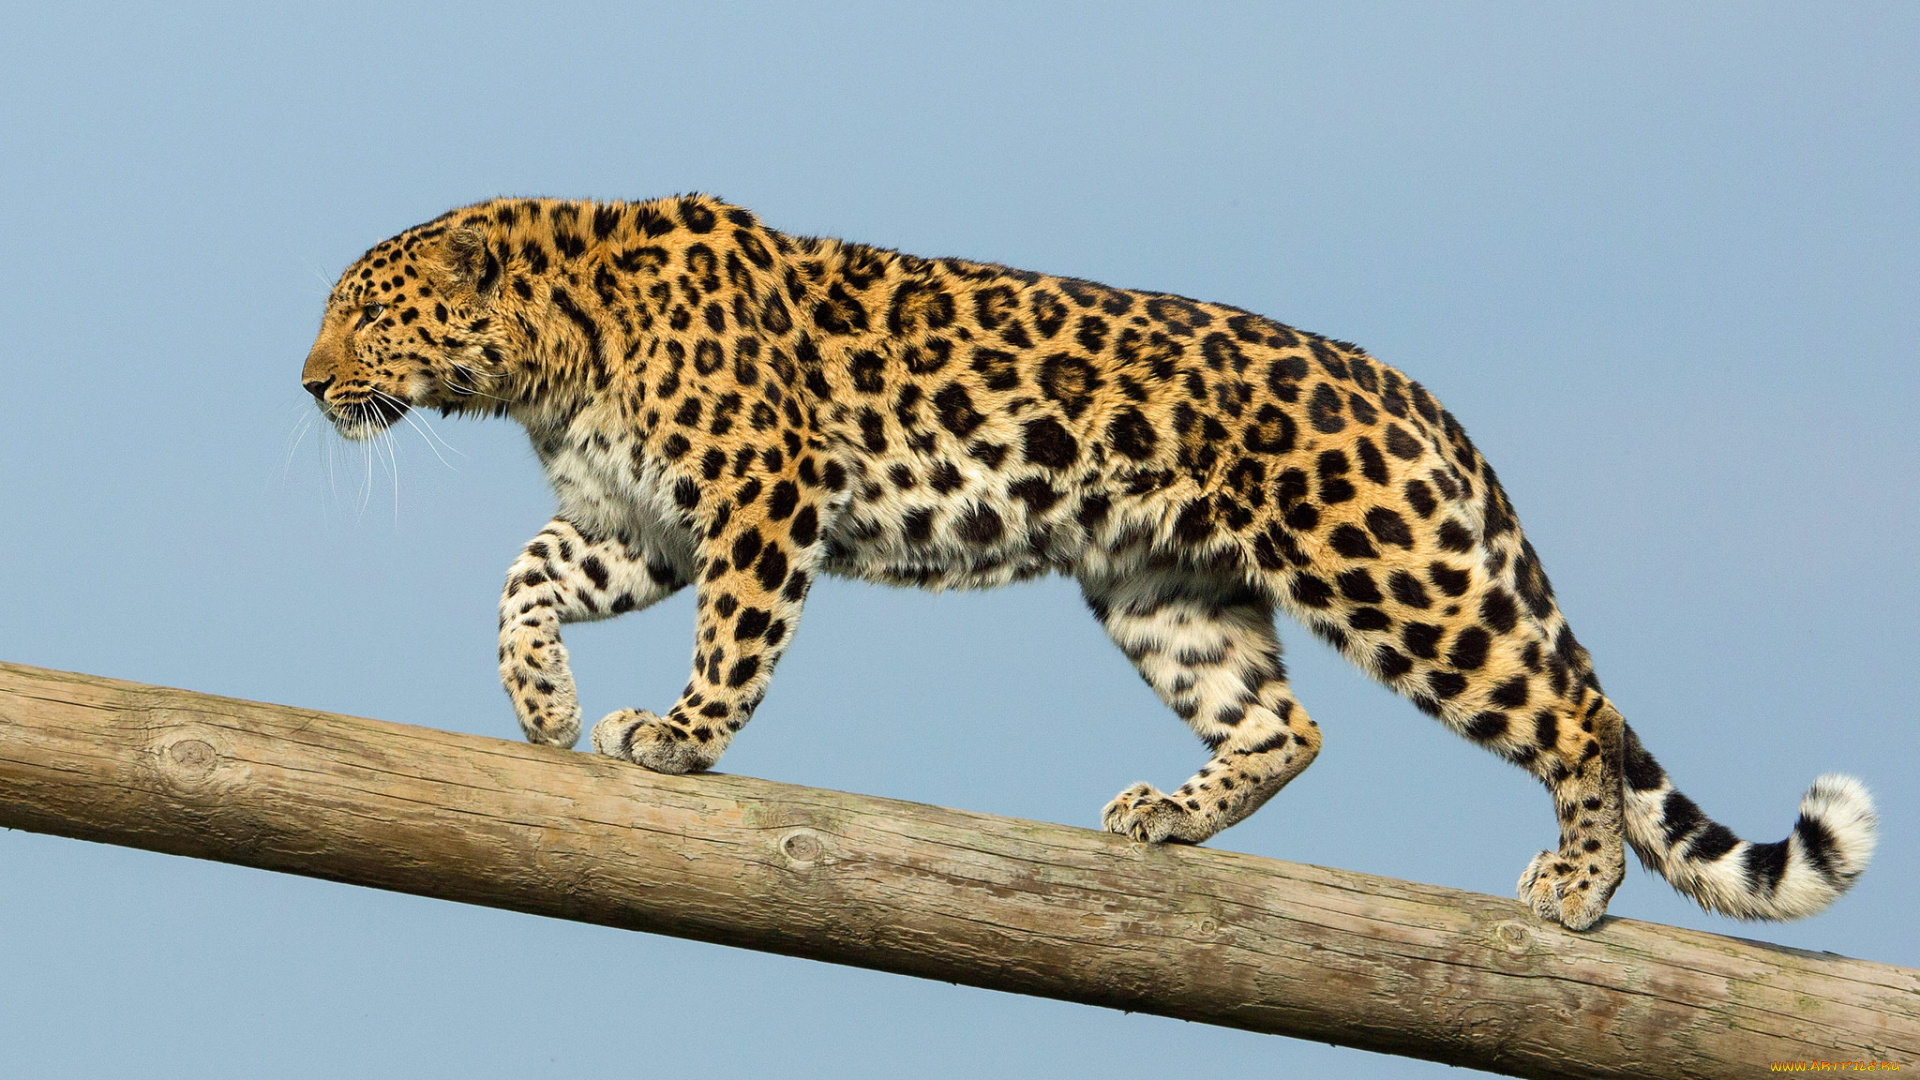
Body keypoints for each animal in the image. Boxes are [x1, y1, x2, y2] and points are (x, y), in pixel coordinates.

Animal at [301, 194, 1876, 930]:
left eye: (364, 316)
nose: (307, 384)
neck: (546, 358)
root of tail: (1407, 389)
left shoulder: (758, 497)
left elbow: (733, 644)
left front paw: (676, 741)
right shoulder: (642, 523)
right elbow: (523, 576)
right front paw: (543, 704)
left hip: (1389, 564)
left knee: (1572, 714)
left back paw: (1578, 886)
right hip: (1162, 587)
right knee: (1287, 722)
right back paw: (1169, 817)